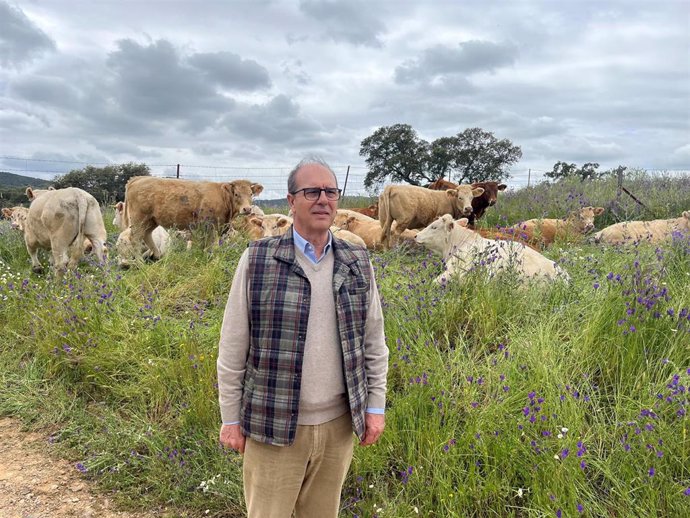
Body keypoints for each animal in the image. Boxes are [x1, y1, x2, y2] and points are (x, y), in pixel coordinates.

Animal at [122, 177, 262, 260]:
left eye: (250, 194)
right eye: (236, 194)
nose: (247, 209)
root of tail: (139, 178)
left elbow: (204, 245)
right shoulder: (211, 226)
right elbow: (211, 246)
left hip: (151, 220)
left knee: (147, 235)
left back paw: (157, 256)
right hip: (139, 219)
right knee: (135, 239)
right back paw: (140, 264)